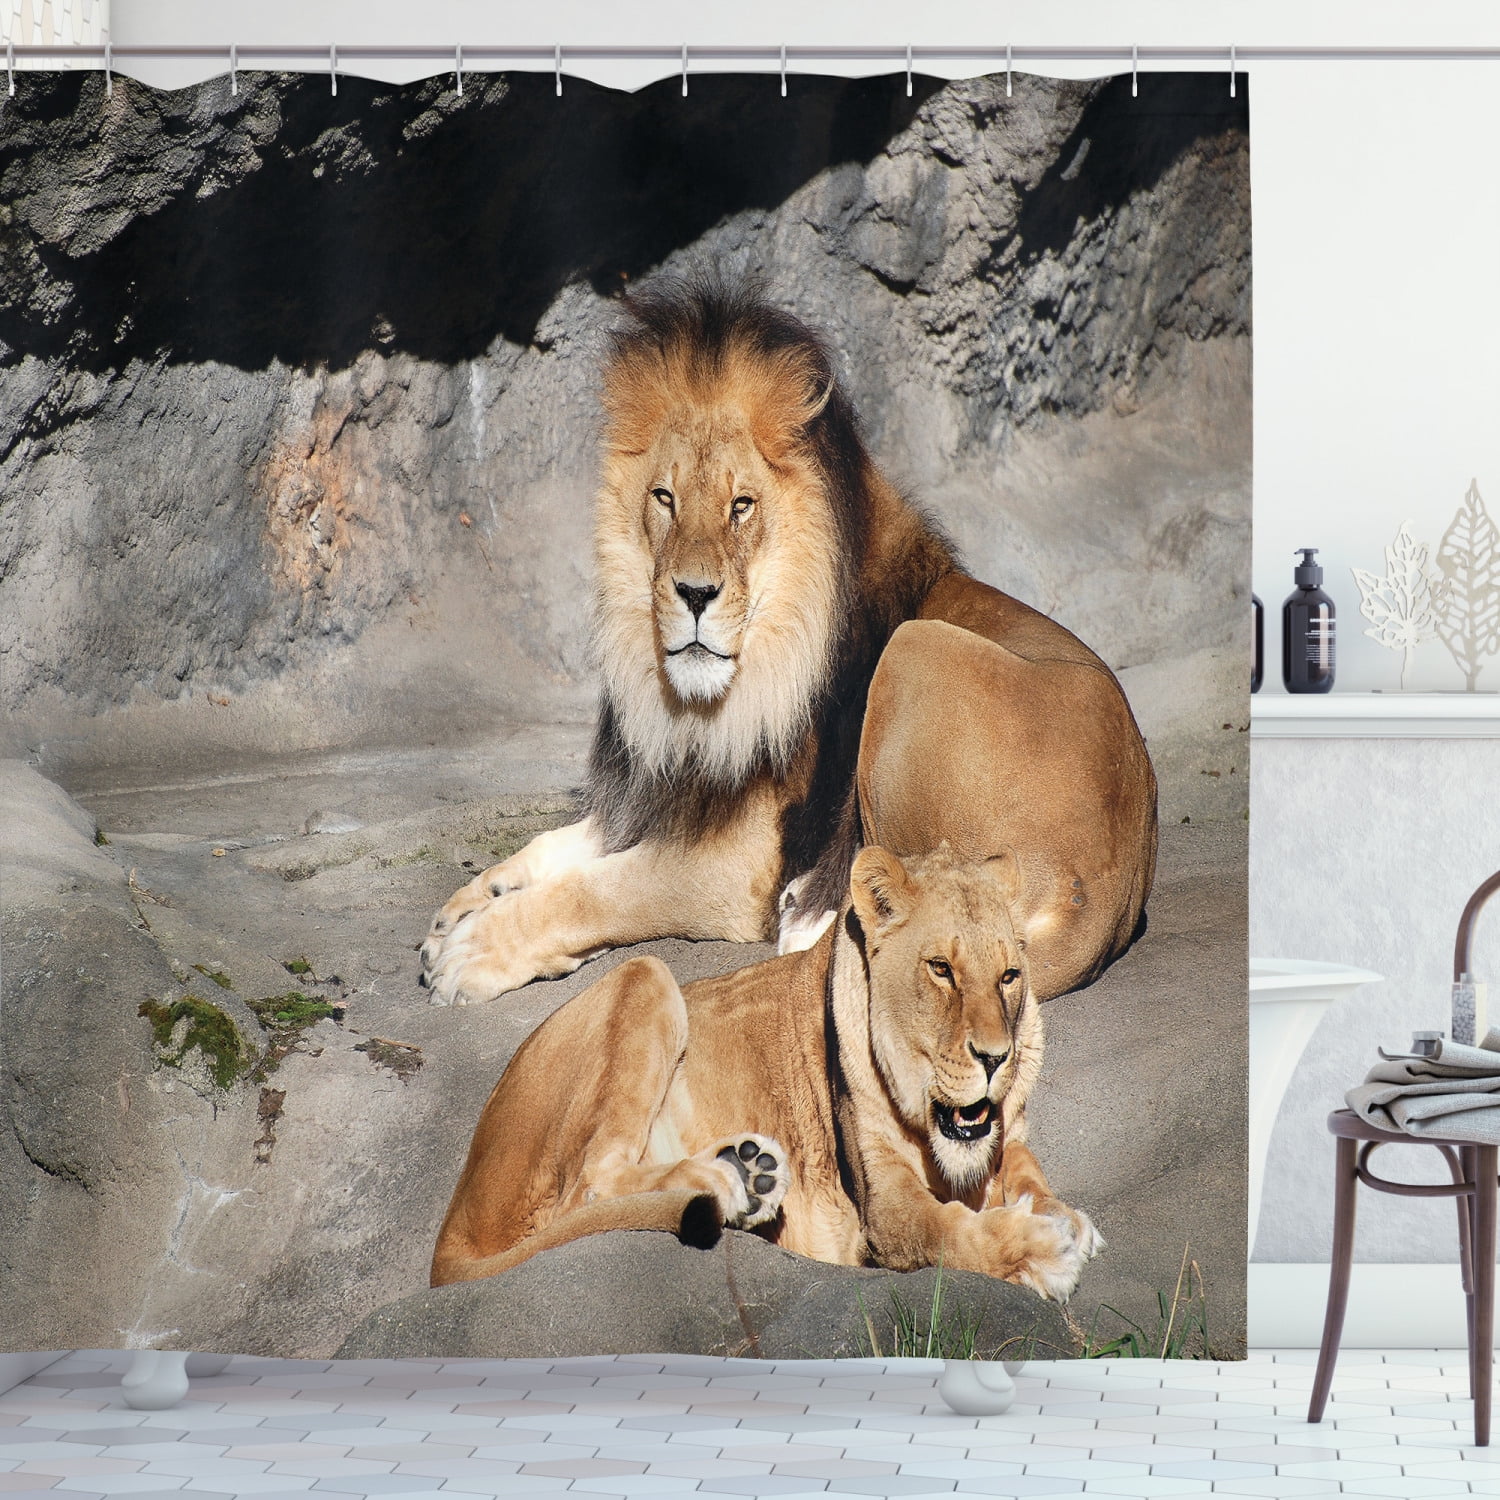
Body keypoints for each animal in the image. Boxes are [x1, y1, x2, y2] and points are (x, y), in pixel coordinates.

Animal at [420, 277, 1156, 1005]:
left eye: (741, 506)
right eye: (664, 498)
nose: (693, 594)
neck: (698, 706)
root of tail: (1101, 904)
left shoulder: (739, 862)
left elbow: (598, 891)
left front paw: (474, 949)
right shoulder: (669, 797)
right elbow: (559, 845)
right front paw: (464, 905)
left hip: (914, 650)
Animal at [431, 844, 1101, 1300]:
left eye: (1009, 976)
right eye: (941, 969)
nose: (995, 1057)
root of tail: (454, 1216)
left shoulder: (1005, 1135)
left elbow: (1027, 1167)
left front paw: (1062, 1217)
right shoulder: (882, 1206)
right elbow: (947, 1234)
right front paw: (1042, 1250)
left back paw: (749, 1171)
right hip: (645, 973)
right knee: (593, 1185)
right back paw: (727, 1180)